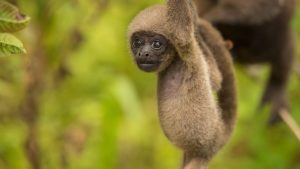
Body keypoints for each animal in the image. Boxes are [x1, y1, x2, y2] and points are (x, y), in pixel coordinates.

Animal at [127, 0, 238, 169]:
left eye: (156, 44)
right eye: (137, 42)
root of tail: (218, 135)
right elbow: (215, 79)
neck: (175, 61)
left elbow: (182, 34)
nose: (143, 53)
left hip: (201, 156)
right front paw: (197, 23)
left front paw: (195, 21)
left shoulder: (188, 50)